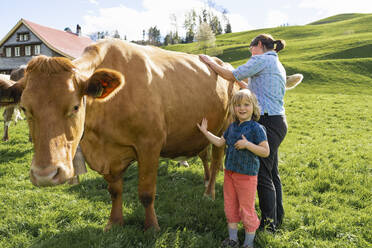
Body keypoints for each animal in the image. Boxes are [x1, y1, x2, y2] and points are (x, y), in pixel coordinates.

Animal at [0, 38, 302, 231]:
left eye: (75, 106)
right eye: (25, 108)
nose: (45, 175)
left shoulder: (149, 146)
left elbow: (146, 193)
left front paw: (152, 227)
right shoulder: (109, 153)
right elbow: (114, 190)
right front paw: (114, 222)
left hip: (224, 128)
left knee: (217, 162)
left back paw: (209, 192)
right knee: (206, 159)